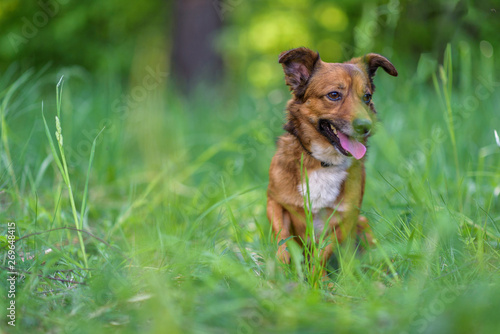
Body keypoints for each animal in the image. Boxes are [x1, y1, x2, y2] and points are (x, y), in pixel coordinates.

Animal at [268, 47, 396, 266]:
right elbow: (282, 237)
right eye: (334, 95)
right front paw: (283, 267)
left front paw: (316, 275)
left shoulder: (346, 218)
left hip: (363, 225)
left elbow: (322, 254)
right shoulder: (274, 202)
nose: (365, 126)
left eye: (367, 97)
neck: (323, 162)